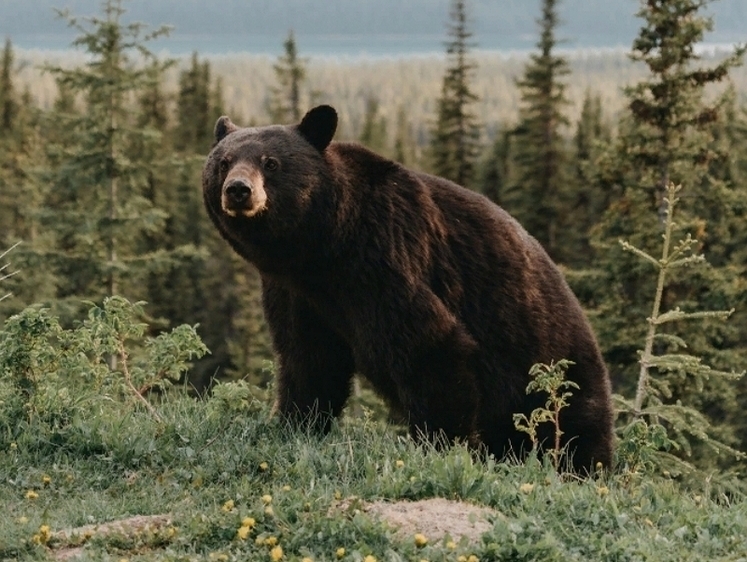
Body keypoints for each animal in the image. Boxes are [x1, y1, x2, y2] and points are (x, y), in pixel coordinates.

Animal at [203, 104, 612, 468]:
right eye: (223, 162)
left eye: (271, 162)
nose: (238, 190)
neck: (323, 249)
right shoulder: (296, 293)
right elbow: (308, 359)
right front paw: (295, 423)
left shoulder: (385, 259)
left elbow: (431, 347)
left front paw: (441, 444)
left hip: (553, 371)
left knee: (575, 432)